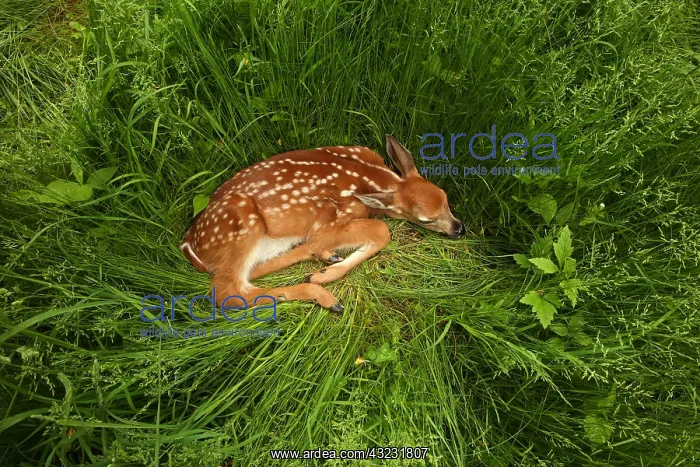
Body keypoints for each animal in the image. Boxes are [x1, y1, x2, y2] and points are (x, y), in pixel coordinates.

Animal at [179, 135, 465, 312]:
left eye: (446, 199)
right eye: (425, 219)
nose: (459, 228)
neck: (372, 177)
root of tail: (189, 246)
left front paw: (326, 263)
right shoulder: (332, 218)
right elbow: (382, 230)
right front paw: (324, 274)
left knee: (251, 274)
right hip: (241, 224)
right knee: (228, 292)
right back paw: (322, 292)